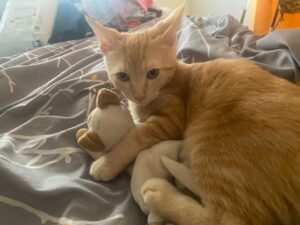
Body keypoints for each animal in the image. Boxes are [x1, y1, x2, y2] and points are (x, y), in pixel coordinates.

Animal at [85, 3, 300, 225]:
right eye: (122, 76)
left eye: (153, 73)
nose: (139, 95)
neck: (168, 85)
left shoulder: (171, 121)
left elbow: (135, 135)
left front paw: (108, 162)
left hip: (216, 147)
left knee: (226, 219)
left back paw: (160, 193)